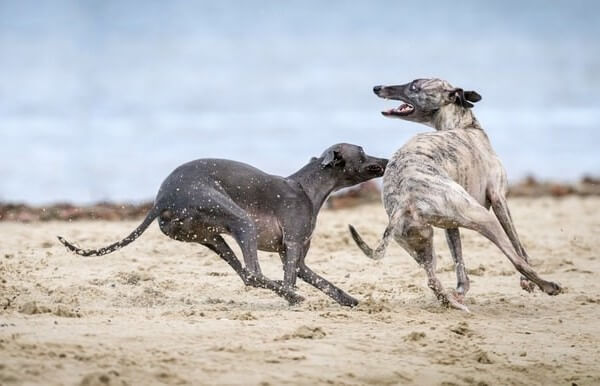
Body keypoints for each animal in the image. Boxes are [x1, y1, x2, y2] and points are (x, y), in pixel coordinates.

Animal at [58, 143, 386, 306]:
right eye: (362, 151)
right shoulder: (292, 246)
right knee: (253, 273)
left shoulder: (297, 258)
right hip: (239, 220)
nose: (385, 160)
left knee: (246, 275)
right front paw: (292, 297)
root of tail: (162, 199)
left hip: (212, 237)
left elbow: (325, 283)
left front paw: (349, 300)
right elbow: (291, 277)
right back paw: (290, 295)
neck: (307, 187)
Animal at [350, 77, 560, 310]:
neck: (464, 126)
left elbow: (458, 260)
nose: (377, 88)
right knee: (515, 259)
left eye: (414, 85)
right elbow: (518, 245)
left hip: (421, 242)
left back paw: (454, 303)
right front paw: (526, 282)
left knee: (432, 280)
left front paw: (461, 290)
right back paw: (548, 285)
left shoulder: (449, 226)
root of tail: (404, 199)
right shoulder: (498, 198)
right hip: (482, 216)